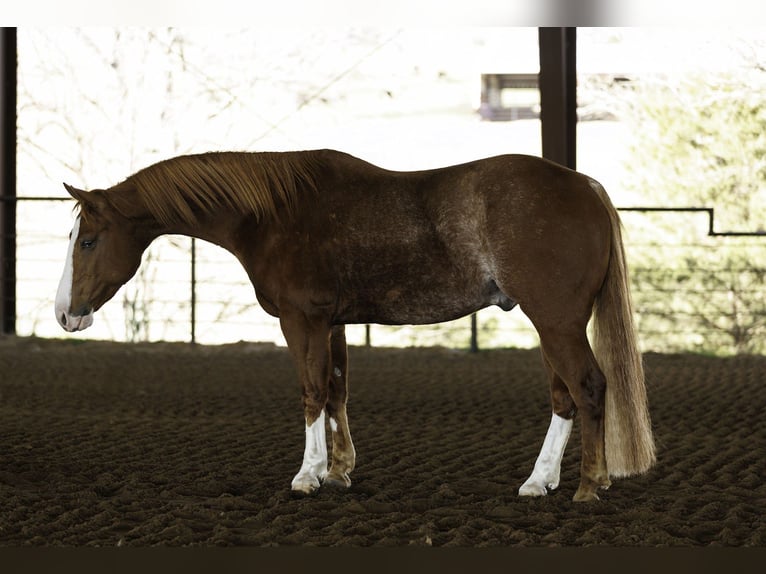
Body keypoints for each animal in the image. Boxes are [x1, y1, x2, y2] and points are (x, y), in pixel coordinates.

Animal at [54, 149, 655, 502]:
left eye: (88, 242)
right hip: (552, 324)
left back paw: (588, 485)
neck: (273, 213)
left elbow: (311, 392)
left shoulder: (302, 320)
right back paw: (540, 480)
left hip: (555, 321)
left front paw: (308, 475)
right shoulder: (334, 323)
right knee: (564, 396)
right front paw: (339, 469)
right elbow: (337, 391)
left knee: (588, 387)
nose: (65, 313)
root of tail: (585, 186)